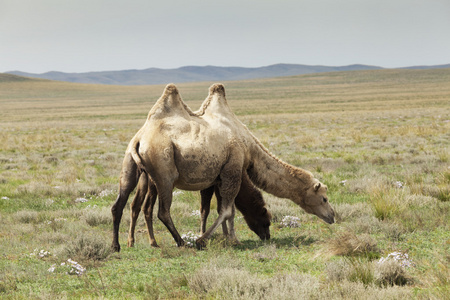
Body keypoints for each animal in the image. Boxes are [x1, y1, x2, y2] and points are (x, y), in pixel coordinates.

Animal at [110, 82, 332, 251]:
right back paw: (181, 242)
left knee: (119, 204)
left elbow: (220, 210)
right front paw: (205, 240)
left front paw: (229, 239)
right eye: (324, 198)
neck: (249, 146)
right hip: (164, 170)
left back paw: (117, 245)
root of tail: (139, 139)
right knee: (162, 211)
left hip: (129, 165)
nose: (332, 216)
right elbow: (226, 210)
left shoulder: (218, 177)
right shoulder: (232, 168)